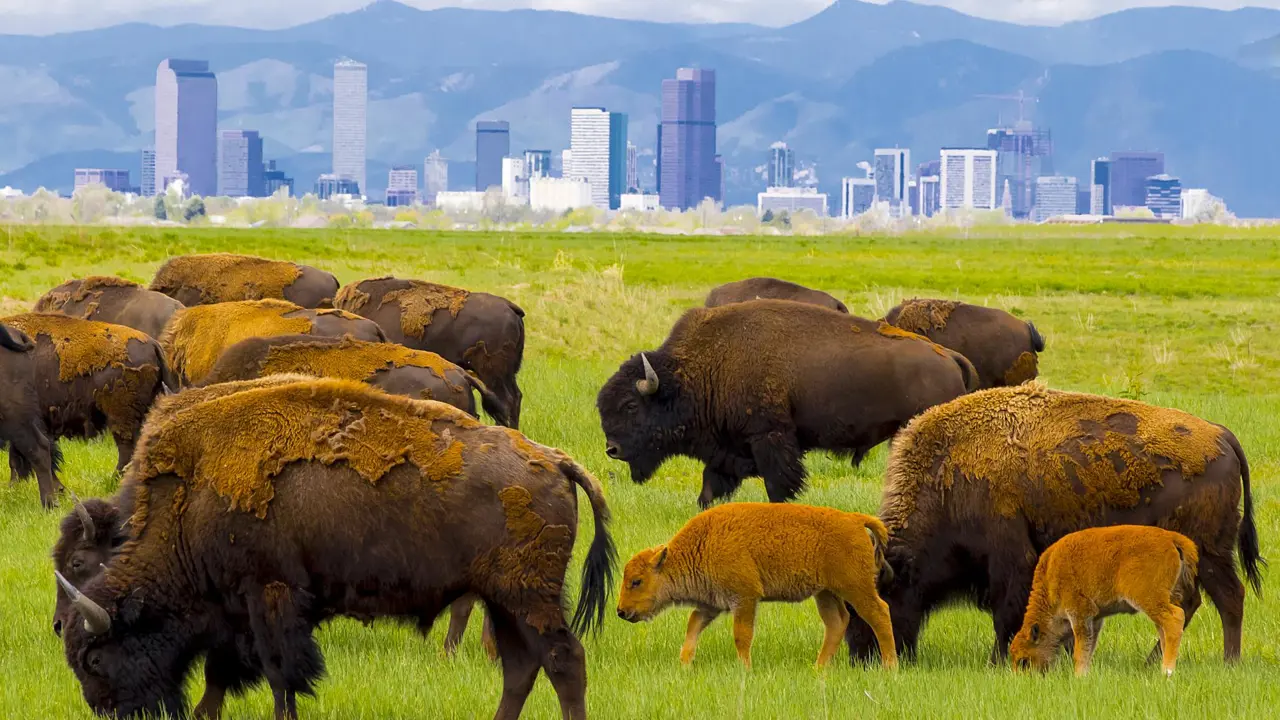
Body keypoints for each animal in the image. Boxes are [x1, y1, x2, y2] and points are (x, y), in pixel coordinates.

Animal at [57, 377, 614, 720]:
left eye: (95, 660)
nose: (104, 708)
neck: (190, 495)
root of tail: (555, 460)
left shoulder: (269, 596)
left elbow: (280, 675)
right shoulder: (236, 611)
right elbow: (229, 672)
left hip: (528, 597)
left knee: (564, 661)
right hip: (505, 601)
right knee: (521, 668)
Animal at [597, 300, 977, 507]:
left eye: (631, 405)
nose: (612, 449)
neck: (697, 369)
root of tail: (949, 356)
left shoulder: (770, 438)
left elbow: (778, 485)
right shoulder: (726, 451)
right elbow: (709, 489)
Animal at [845, 384, 1263, 665]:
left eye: (882, 599)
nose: (859, 655)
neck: (948, 476)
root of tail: (1220, 434)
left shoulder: (1011, 561)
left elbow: (1008, 613)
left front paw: (1000, 660)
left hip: (1208, 551)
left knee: (1228, 598)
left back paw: (1227, 662)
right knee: (1193, 602)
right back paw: (1154, 663)